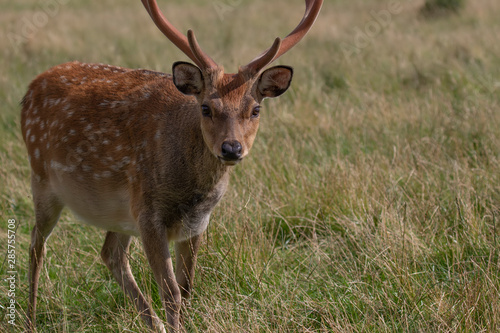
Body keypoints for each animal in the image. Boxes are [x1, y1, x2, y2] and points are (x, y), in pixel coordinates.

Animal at [21, 0, 322, 330]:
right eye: (206, 107)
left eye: (255, 109)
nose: (231, 148)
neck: (189, 192)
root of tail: (30, 87)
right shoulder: (150, 213)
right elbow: (172, 292)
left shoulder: (196, 222)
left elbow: (187, 287)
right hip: (42, 178)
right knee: (36, 243)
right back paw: (30, 320)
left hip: (120, 213)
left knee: (110, 253)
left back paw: (155, 324)